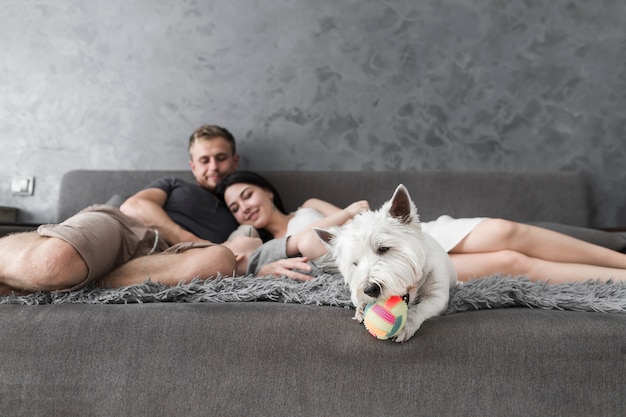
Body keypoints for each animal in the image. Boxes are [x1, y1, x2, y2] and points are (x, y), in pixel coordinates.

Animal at [314, 185, 456, 342]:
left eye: (383, 248)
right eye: (355, 263)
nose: (370, 289)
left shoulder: (438, 297)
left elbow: (420, 308)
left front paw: (406, 325)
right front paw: (360, 308)